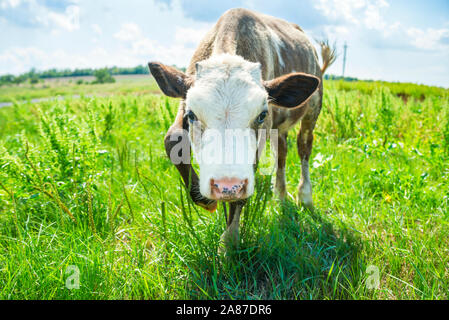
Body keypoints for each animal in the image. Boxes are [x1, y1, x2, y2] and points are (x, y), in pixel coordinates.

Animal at [149, 6, 334, 248]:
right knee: (282, 152)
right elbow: (172, 139)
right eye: (191, 115)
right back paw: (280, 196)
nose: (225, 186)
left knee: (304, 146)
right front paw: (204, 198)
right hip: (280, 126)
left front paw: (229, 242)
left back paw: (305, 196)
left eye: (261, 114)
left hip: (313, 108)